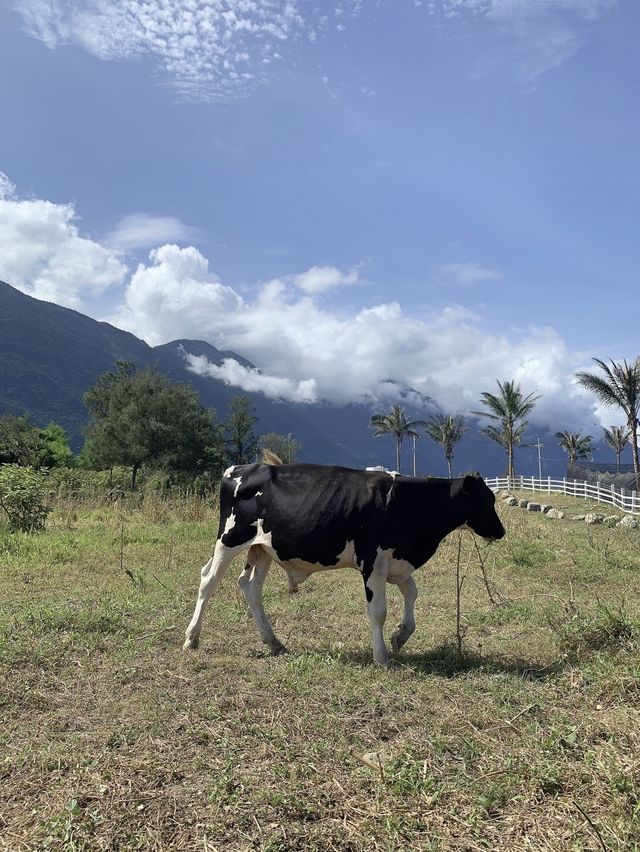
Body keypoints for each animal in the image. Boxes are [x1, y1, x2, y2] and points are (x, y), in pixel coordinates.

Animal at [184, 460, 504, 664]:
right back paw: (191, 638)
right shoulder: (372, 561)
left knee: (250, 586)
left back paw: (274, 642)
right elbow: (378, 611)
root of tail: (241, 468)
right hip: (230, 538)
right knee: (208, 580)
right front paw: (381, 657)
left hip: (261, 548)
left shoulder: (396, 562)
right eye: (487, 502)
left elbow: (412, 593)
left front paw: (400, 636)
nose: (501, 531)